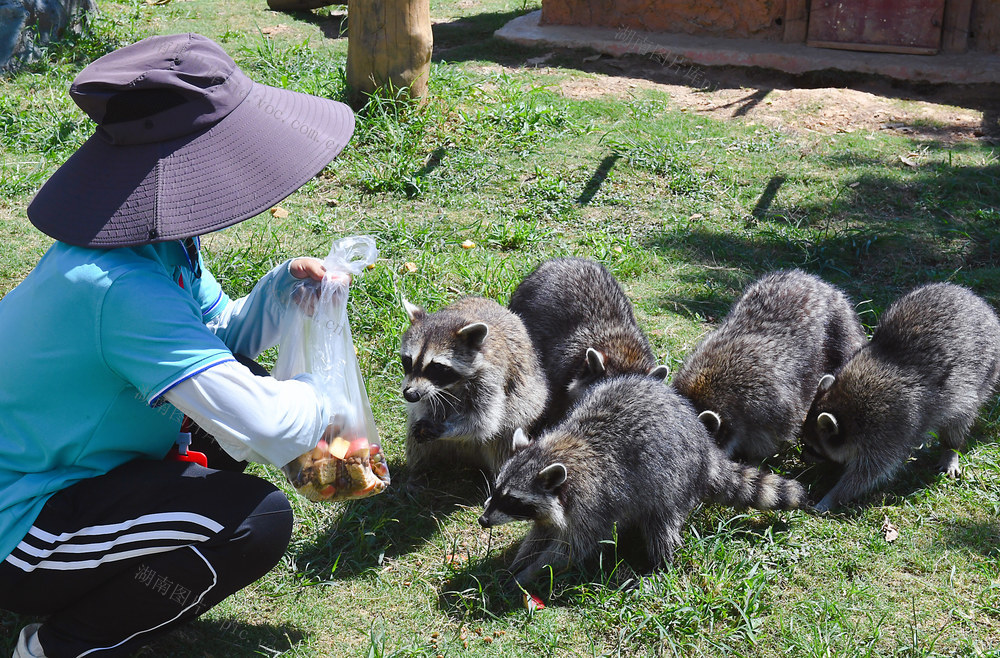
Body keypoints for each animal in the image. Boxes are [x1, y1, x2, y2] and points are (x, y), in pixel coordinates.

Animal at [400, 298, 548, 476]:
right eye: (408, 360)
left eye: (436, 367)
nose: (410, 395)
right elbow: (425, 406)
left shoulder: (490, 378)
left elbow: (483, 421)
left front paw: (444, 427)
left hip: (523, 409)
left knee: (505, 437)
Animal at [478, 372, 812, 588]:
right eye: (497, 491)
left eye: (513, 500)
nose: (483, 521)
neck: (557, 451)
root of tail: (706, 448)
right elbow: (540, 533)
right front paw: (518, 561)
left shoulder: (592, 507)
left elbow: (571, 549)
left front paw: (532, 572)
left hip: (673, 482)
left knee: (661, 525)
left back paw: (660, 563)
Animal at [800, 282, 1000, 512]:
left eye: (812, 448)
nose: (802, 458)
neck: (846, 402)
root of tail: (981, 305)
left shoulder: (889, 432)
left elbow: (867, 474)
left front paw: (832, 496)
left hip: (983, 373)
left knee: (959, 419)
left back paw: (951, 448)